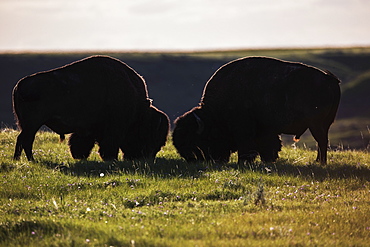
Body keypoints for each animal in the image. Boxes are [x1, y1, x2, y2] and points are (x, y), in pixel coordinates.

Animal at [12, 55, 169, 161]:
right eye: (149, 134)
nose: (147, 157)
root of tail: (19, 86)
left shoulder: (88, 129)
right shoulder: (113, 128)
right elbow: (108, 144)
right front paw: (110, 158)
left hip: (27, 124)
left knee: (23, 139)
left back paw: (20, 160)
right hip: (32, 124)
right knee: (26, 140)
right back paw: (30, 160)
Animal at [173, 56, 342, 164]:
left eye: (195, 140)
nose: (191, 158)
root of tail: (329, 79)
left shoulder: (243, 128)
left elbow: (247, 144)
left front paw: (244, 161)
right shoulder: (266, 129)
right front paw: (269, 159)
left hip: (316, 124)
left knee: (321, 141)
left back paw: (320, 162)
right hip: (323, 124)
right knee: (322, 141)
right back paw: (318, 161)